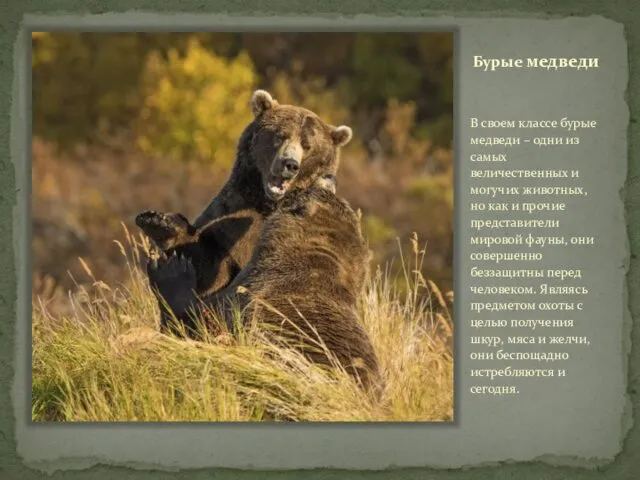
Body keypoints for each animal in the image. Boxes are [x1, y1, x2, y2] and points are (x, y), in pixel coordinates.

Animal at [137, 89, 352, 296]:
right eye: (280, 135)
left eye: (307, 145)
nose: (289, 164)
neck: (267, 202)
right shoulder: (231, 214)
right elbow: (209, 263)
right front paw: (159, 223)